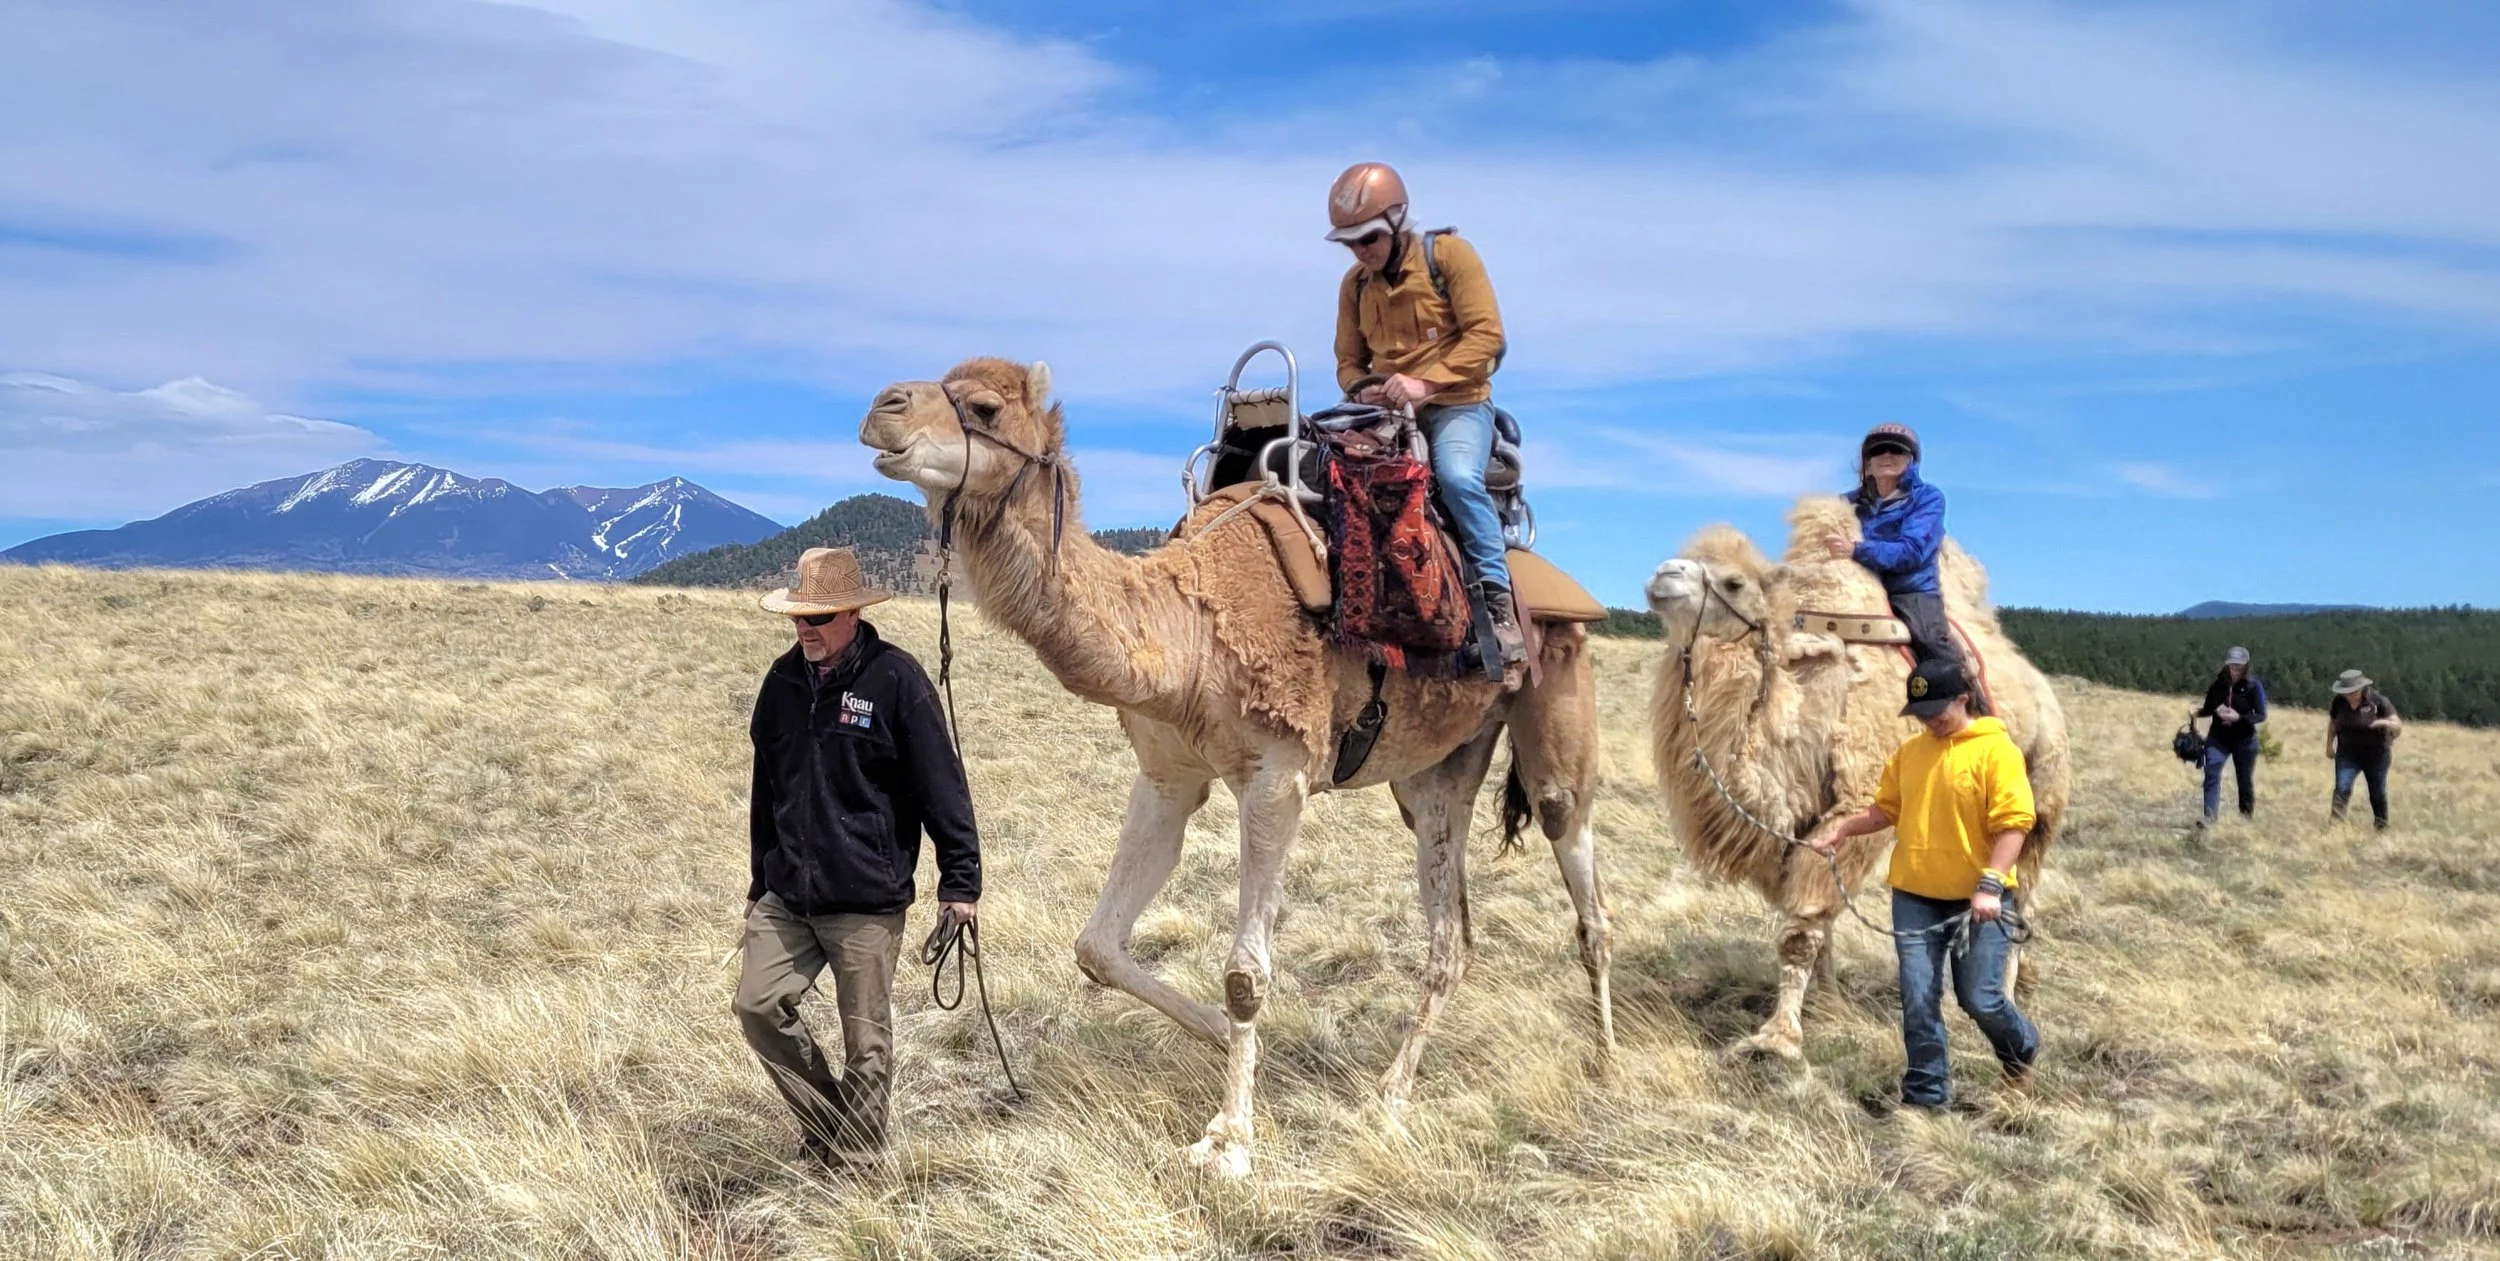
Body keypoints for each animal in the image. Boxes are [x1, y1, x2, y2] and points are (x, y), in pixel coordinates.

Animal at [858, 357, 1615, 1177]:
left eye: (986, 407)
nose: (881, 409)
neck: (1184, 631)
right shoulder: (1167, 776)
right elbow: (1097, 946)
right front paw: (1233, 1047)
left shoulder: (1278, 774)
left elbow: (1245, 974)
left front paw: (1229, 1138)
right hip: (1435, 772)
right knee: (1452, 937)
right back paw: (1391, 1093)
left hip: (1557, 694)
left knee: (1576, 861)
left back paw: (1604, 1063)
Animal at [1642, 495, 2069, 1061]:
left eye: (1733, 582)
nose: (1662, 575)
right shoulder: (1798, 824)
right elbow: (1817, 924)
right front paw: (1827, 1007)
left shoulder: (1855, 802)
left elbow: (1802, 926)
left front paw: (1778, 1038)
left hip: (2041, 802)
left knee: (2020, 900)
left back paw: (2006, 995)